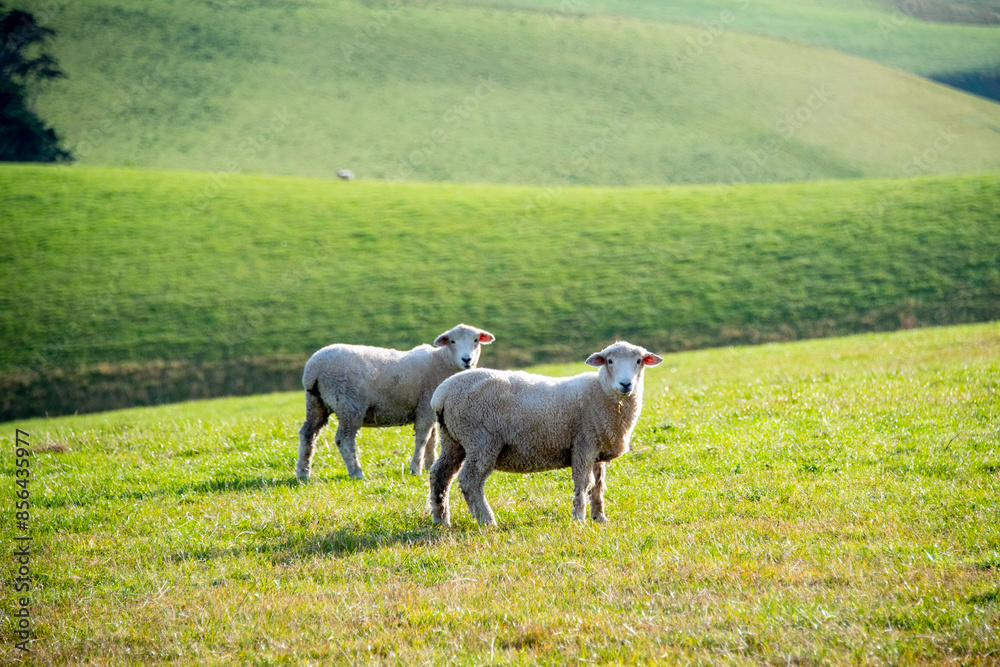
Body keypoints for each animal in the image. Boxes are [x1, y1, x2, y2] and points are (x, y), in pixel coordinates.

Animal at [296, 324, 495, 481]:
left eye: (476, 340)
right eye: (452, 341)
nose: (467, 359)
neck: (441, 362)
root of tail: (313, 367)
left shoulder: (432, 410)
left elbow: (432, 439)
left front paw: (430, 465)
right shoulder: (424, 407)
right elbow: (423, 438)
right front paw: (415, 469)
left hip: (315, 402)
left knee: (308, 434)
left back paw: (303, 473)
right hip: (349, 405)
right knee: (344, 439)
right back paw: (357, 473)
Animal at [428, 340, 663, 526]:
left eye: (639, 361)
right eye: (610, 361)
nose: (626, 384)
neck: (604, 393)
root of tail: (441, 395)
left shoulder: (598, 449)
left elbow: (598, 486)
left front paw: (599, 517)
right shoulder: (583, 444)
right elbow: (583, 483)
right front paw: (579, 518)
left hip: (453, 439)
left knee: (440, 474)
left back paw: (441, 519)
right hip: (481, 440)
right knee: (470, 480)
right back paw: (487, 520)